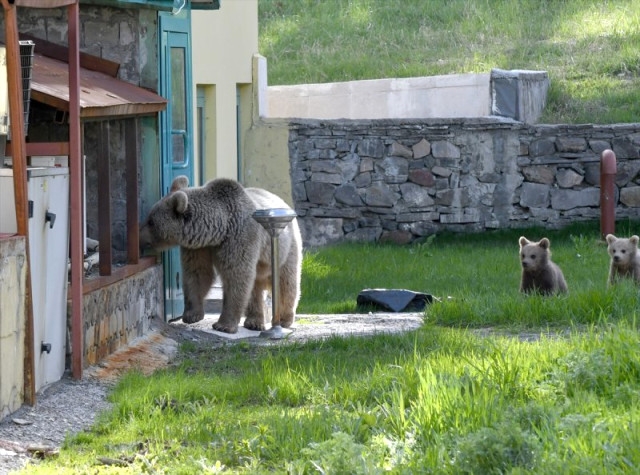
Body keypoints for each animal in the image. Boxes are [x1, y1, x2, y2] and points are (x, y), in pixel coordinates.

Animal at [139, 178, 302, 334]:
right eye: (148, 217)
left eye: (151, 221)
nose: (139, 237)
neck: (218, 230)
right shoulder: (199, 247)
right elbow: (198, 274)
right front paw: (192, 314)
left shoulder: (240, 238)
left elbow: (236, 277)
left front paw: (224, 325)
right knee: (255, 287)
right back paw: (254, 322)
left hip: (285, 248)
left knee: (286, 283)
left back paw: (285, 319)